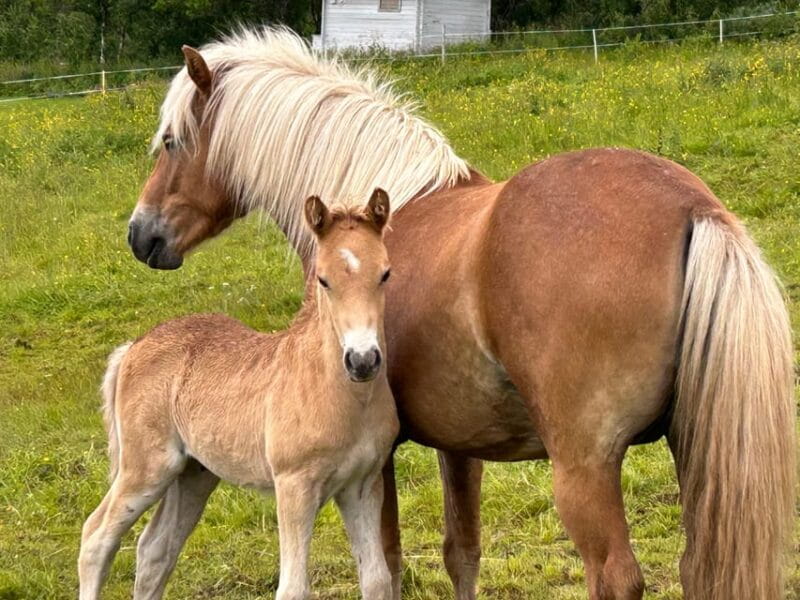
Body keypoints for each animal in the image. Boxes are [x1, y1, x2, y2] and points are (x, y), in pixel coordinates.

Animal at [80, 190, 399, 600]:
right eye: (324, 280)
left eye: (385, 273)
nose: (362, 360)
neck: (341, 395)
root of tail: (135, 346)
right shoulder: (293, 486)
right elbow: (294, 588)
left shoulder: (361, 484)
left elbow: (376, 578)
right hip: (147, 467)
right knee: (97, 537)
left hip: (194, 472)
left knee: (155, 550)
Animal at [126, 27, 796, 600]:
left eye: (171, 142)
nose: (141, 234)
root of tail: (692, 208)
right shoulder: (459, 444)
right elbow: (462, 552)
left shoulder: (376, 461)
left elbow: (388, 563)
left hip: (586, 469)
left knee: (614, 576)